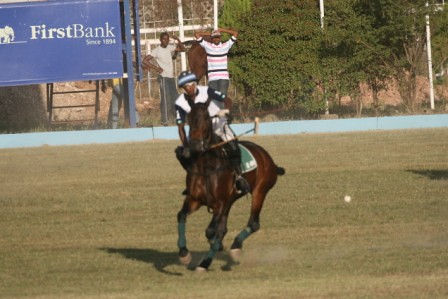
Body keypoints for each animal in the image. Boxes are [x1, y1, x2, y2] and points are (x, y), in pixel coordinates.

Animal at [177, 98, 286, 272]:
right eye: (189, 119)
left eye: (206, 119)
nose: (195, 146)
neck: (206, 166)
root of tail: (269, 159)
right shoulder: (195, 199)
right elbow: (182, 216)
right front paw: (184, 254)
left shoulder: (220, 203)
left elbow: (211, 231)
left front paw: (213, 250)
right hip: (231, 200)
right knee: (224, 228)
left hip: (260, 191)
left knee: (253, 223)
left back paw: (235, 246)